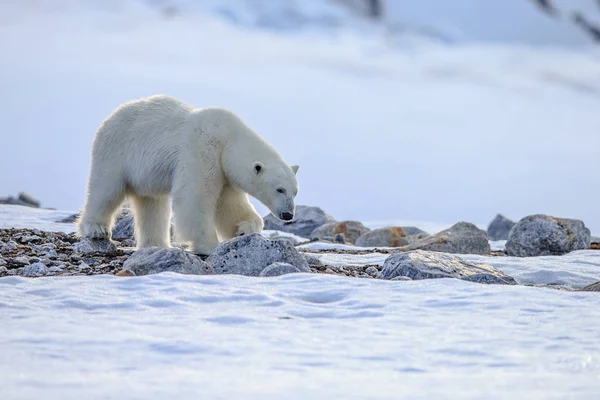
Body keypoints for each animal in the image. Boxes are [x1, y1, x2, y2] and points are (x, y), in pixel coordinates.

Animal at [76, 94, 298, 253]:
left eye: (295, 191)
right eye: (279, 189)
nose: (288, 214)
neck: (228, 139)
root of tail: (110, 117)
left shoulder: (224, 172)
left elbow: (229, 205)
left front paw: (244, 227)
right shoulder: (202, 150)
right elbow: (195, 197)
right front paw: (210, 245)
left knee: (152, 204)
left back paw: (157, 245)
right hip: (116, 150)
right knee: (106, 190)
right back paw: (97, 229)